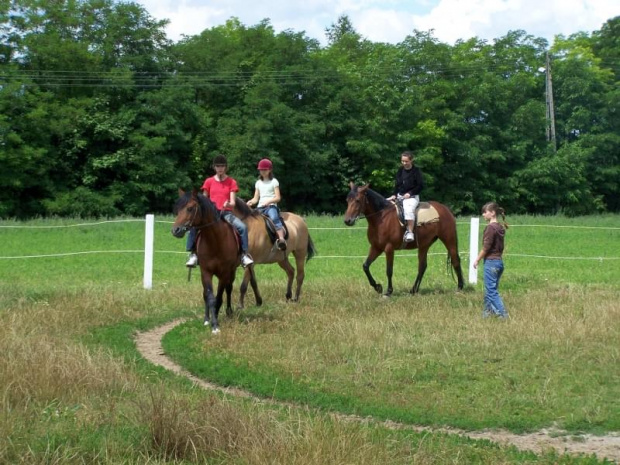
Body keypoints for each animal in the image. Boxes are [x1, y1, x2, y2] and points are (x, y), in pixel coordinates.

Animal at [170, 189, 262, 334]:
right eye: (178, 209)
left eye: (190, 208)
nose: (175, 230)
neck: (215, 240)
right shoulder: (206, 272)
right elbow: (209, 297)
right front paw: (211, 322)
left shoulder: (224, 273)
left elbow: (219, 297)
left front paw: (217, 321)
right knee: (207, 294)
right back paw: (208, 318)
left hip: (231, 271)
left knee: (228, 289)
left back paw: (229, 312)